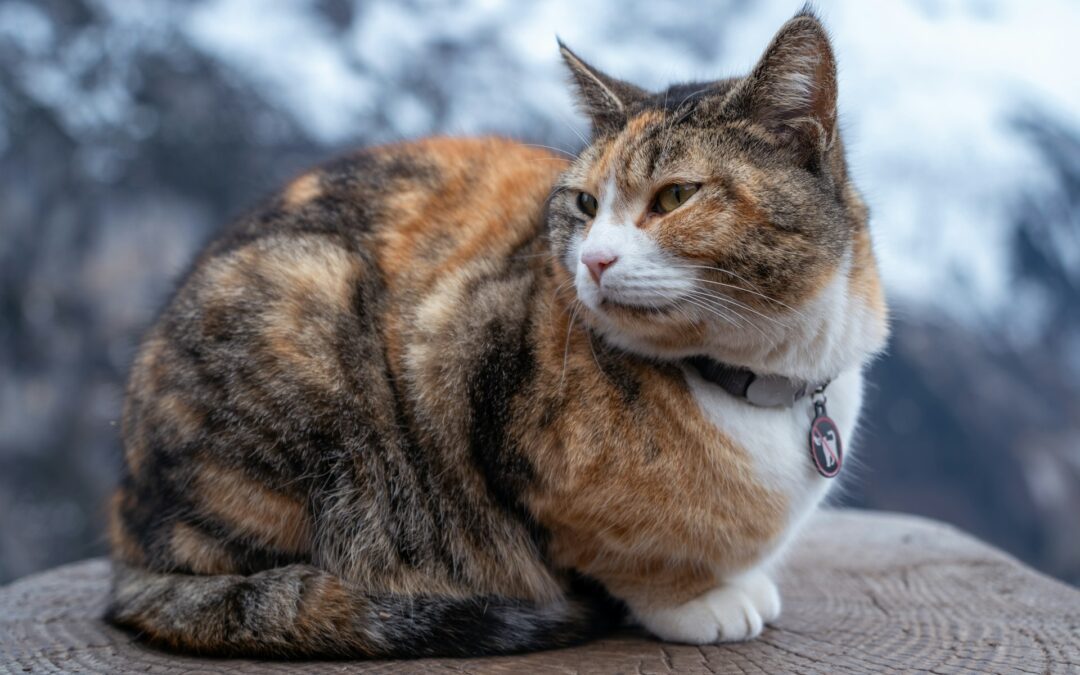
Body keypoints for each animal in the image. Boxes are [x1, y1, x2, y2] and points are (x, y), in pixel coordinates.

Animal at [105, 7, 889, 656]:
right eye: (585, 203)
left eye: (674, 197)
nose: (594, 260)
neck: (755, 379)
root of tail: (128, 539)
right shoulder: (467, 361)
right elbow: (624, 554)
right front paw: (698, 601)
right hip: (305, 309)